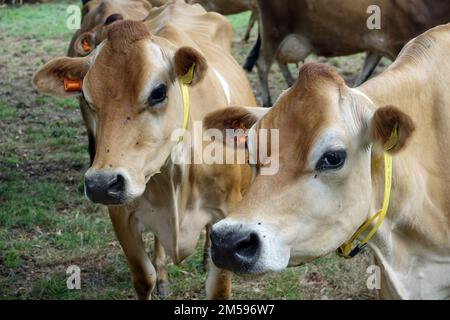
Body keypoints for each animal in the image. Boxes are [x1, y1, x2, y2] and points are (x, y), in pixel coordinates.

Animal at [32, 0, 256, 300]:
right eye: (87, 97)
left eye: (158, 92)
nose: (101, 184)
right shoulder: (121, 214)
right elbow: (143, 277)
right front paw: (156, 277)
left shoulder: (227, 207)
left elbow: (218, 287)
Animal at [248, 0, 450, 107]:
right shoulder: (400, 44)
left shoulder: (376, 49)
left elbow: (362, 79)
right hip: (273, 32)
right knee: (263, 65)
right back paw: (267, 100)